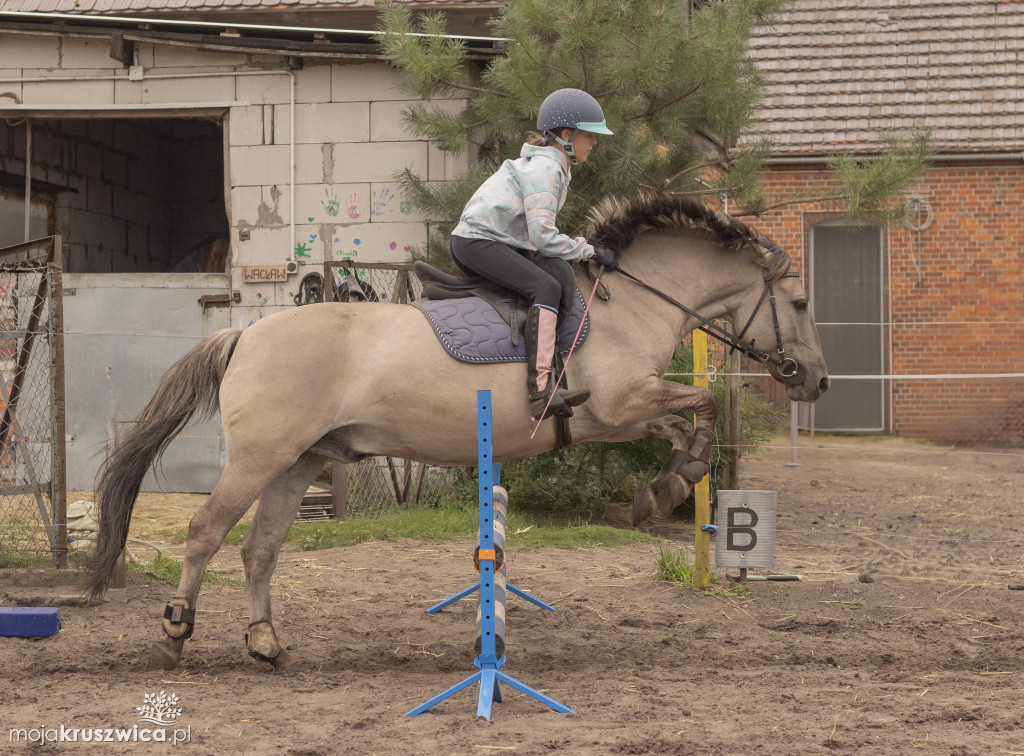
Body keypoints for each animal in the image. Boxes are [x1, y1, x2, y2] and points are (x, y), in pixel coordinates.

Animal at [83, 192, 827, 672]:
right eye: (798, 303)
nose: (816, 382)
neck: (633, 302)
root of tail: (243, 335)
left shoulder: (616, 414)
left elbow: (689, 417)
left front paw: (669, 484)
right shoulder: (618, 404)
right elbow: (701, 403)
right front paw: (671, 486)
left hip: (299, 462)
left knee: (259, 551)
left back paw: (264, 643)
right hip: (259, 459)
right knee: (205, 533)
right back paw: (175, 634)